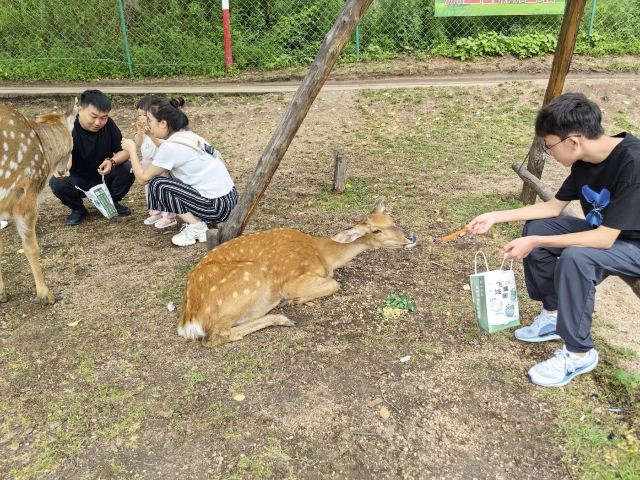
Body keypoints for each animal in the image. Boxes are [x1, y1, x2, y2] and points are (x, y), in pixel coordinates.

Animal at [178, 198, 417, 347]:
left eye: (393, 220)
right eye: (376, 230)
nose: (411, 238)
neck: (324, 255)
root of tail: (188, 322)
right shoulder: (294, 280)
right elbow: (334, 284)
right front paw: (294, 300)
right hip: (251, 279)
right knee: (215, 337)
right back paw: (283, 316)